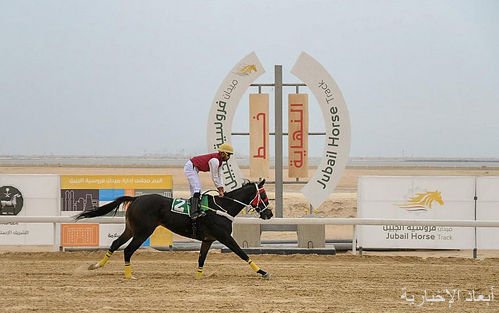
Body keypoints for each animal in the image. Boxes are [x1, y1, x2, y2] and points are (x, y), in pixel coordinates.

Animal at [74, 179, 274, 280]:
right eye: (263, 194)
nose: (270, 213)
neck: (223, 207)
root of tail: (136, 199)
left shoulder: (208, 240)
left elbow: (201, 259)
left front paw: (199, 277)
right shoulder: (224, 236)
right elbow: (242, 253)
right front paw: (263, 272)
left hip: (131, 229)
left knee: (115, 244)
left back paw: (96, 265)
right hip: (142, 232)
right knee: (128, 250)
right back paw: (129, 276)